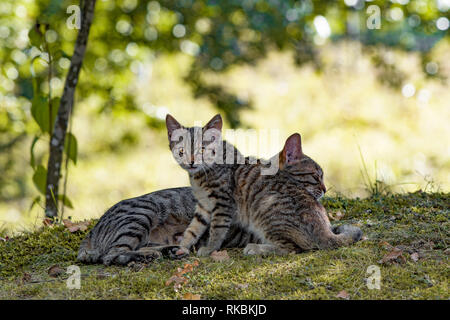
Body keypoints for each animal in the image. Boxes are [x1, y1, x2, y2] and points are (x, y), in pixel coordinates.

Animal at [167, 114, 364, 256]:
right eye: (181, 151)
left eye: (202, 150)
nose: (191, 162)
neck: (200, 176)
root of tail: (324, 230)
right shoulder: (204, 206)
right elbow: (193, 229)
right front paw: (183, 246)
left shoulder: (222, 204)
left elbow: (217, 229)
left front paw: (210, 249)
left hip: (266, 213)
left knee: (293, 249)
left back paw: (256, 248)